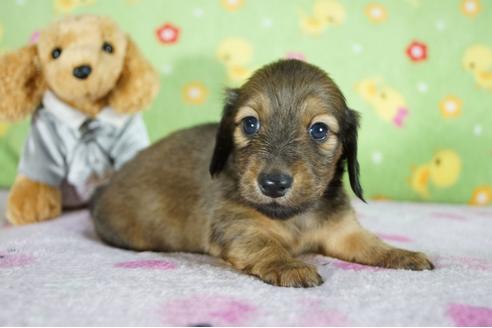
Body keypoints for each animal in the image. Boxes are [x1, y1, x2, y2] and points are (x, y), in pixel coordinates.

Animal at [90, 59, 432, 288]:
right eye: (250, 124)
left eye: (319, 130)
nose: (273, 184)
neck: (295, 217)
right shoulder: (240, 227)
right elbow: (268, 246)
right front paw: (289, 265)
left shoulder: (342, 231)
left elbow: (371, 244)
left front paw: (401, 255)